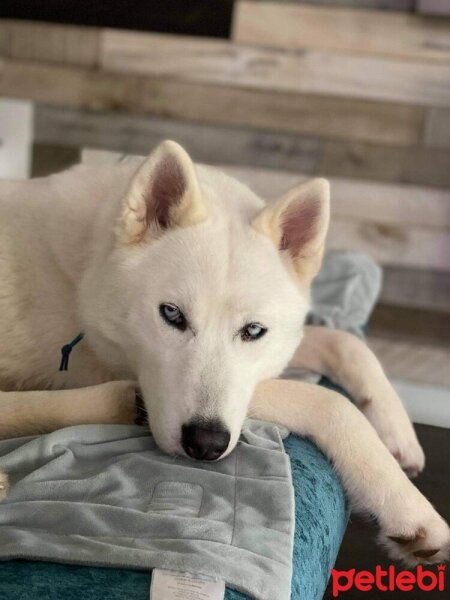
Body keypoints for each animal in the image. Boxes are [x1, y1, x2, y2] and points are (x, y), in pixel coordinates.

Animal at [0, 141, 448, 564]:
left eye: (253, 331)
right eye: (171, 314)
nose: (206, 444)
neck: (85, 267)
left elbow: (346, 343)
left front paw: (397, 434)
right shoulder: (124, 375)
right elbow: (331, 402)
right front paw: (409, 506)